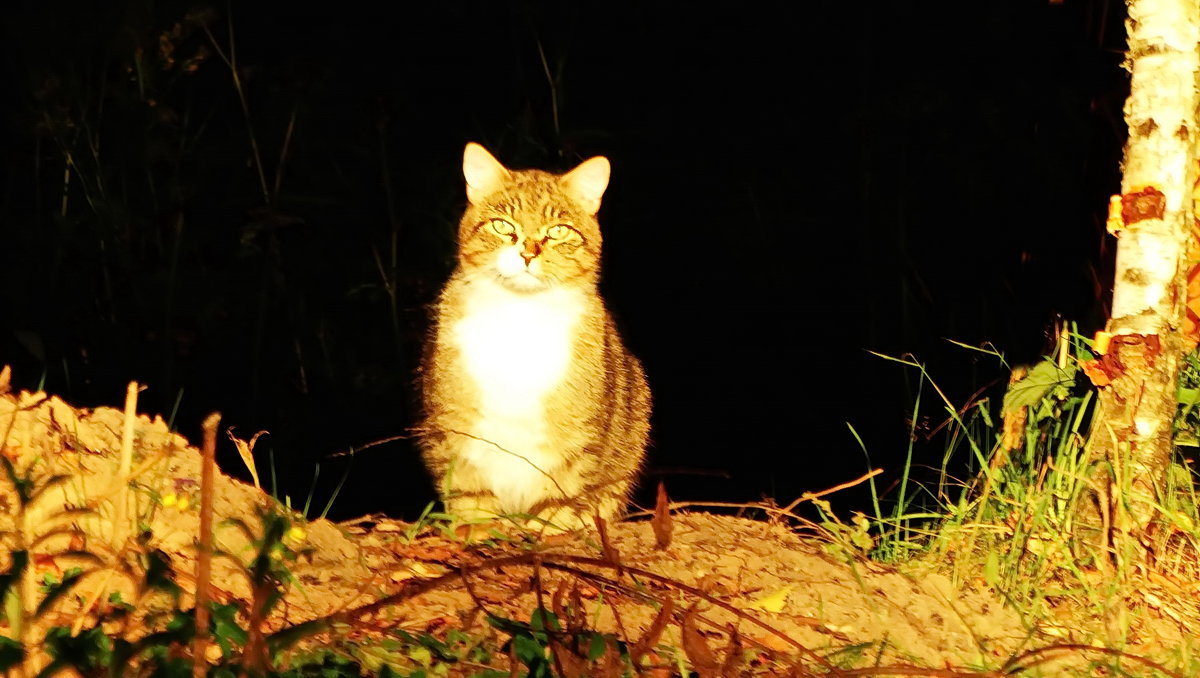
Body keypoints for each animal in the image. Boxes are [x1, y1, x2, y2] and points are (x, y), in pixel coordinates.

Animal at [417, 142, 652, 530]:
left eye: (557, 231)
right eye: (502, 225)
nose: (528, 252)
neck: (521, 316)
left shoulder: (578, 436)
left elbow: (561, 496)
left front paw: (547, 527)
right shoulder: (452, 424)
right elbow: (467, 492)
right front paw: (478, 528)